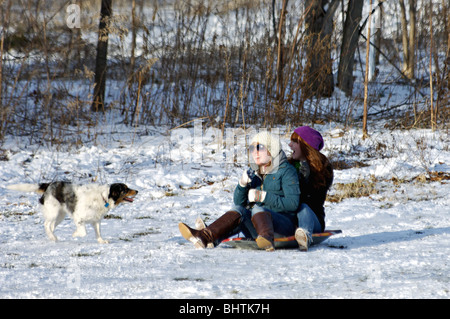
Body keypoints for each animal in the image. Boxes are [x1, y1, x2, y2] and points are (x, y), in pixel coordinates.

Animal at [6, 184, 137, 244]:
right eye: (125, 189)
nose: (137, 191)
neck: (103, 197)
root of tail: (49, 185)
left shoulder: (96, 220)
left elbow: (98, 233)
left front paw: (101, 241)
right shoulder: (78, 217)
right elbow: (83, 232)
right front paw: (75, 234)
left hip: (60, 216)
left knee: (51, 226)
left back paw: (53, 238)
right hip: (53, 213)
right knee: (46, 224)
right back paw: (53, 237)